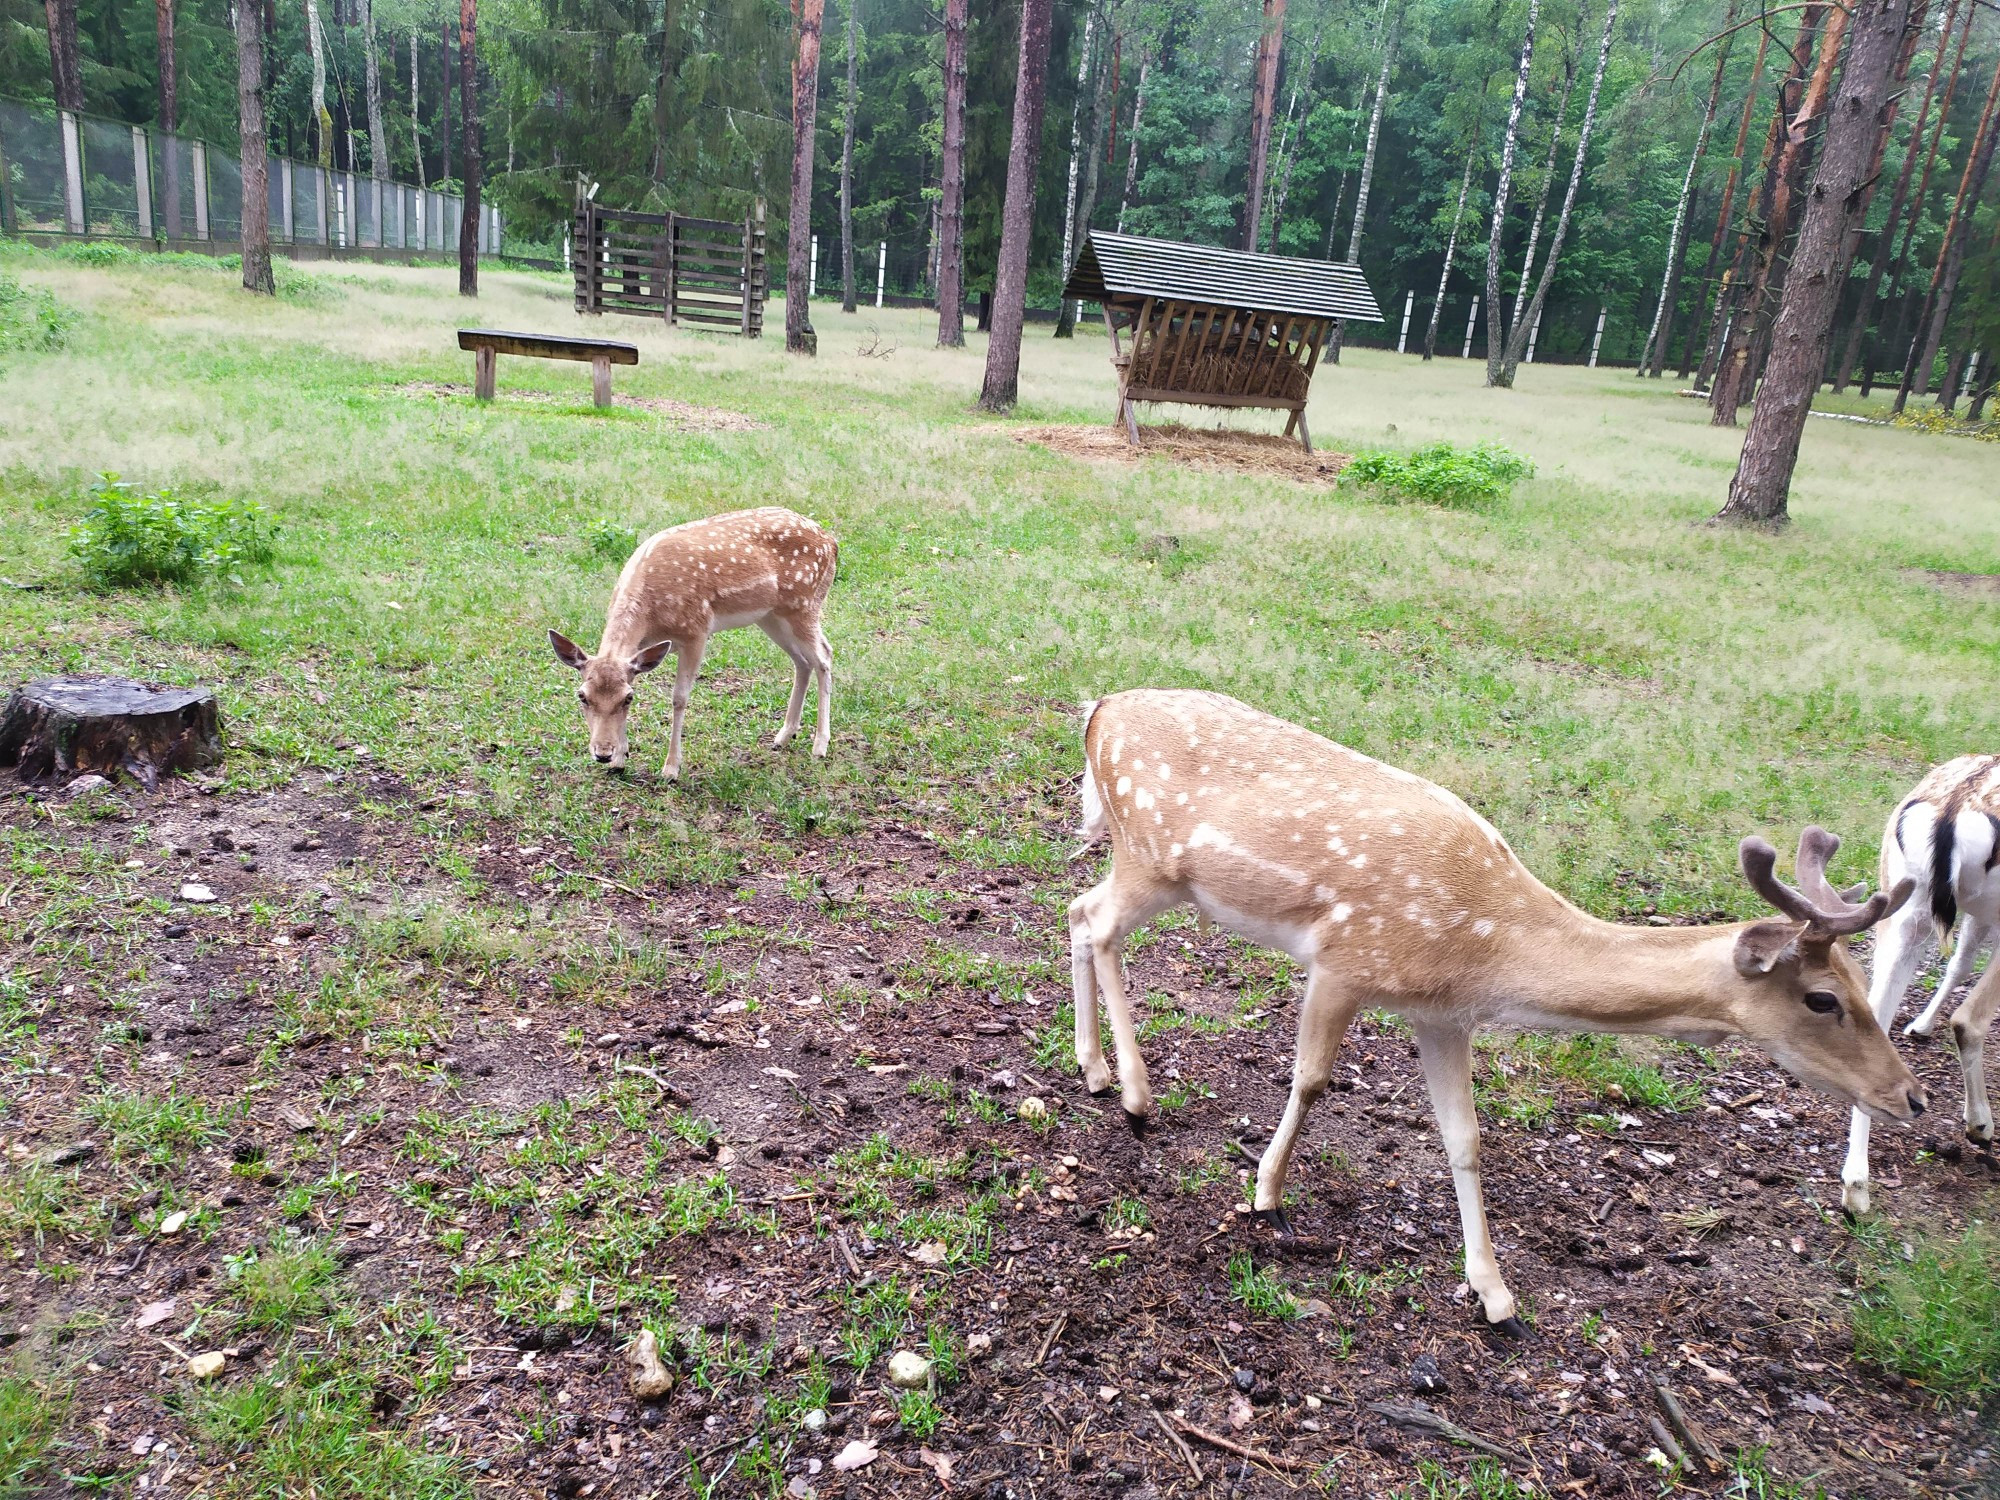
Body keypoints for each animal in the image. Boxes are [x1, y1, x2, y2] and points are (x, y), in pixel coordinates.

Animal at [548, 508, 836, 780]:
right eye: (582, 696)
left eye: (627, 698)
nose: (602, 753)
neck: (651, 615)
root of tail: (831, 542)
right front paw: (620, 761)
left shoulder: (696, 631)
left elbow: (679, 698)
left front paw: (671, 769)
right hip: (772, 615)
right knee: (803, 661)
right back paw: (783, 736)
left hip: (805, 603)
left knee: (824, 655)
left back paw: (820, 745)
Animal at [1072, 688, 1928, 1336]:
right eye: (1822, 998)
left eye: (1861, 982)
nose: (1909, 1096)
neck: (1487, 949)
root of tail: (1098, 709)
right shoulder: (1345, 960)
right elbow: (1311, 1080)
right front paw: (1267, 1194)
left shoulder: (1442, 1015)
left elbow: (1465, 1138)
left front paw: (1495, 1294)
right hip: (1151, 856)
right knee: (1096, 921)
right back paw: (1137, 1094)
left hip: (1142, 861)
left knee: (1077, 910)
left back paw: (1094, 1071)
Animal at [1840, 756, 2000, 1216]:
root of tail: (1952, 811)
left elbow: (1960, 962)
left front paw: (1920, 1026)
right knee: (1970, 1020)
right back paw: (1980, 1125)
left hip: (1902, 905)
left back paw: (1856, 1188)